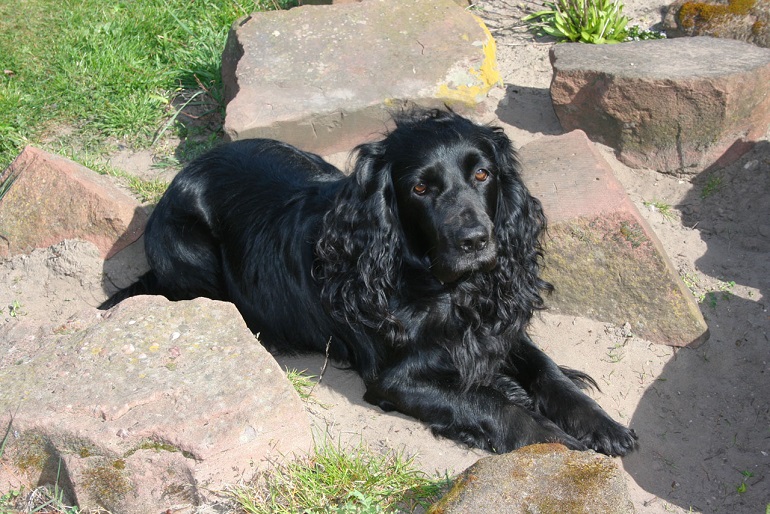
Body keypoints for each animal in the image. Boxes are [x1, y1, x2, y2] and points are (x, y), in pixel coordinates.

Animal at [105, 110, 640, 454]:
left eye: (483, 175)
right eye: (420, 187)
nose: (474, 240)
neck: (443, 289)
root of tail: (183, 173)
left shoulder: (494, 327)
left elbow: (548, 372)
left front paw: (603, 425)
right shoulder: (395, 379)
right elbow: (494, 406)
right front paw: (556, 439)